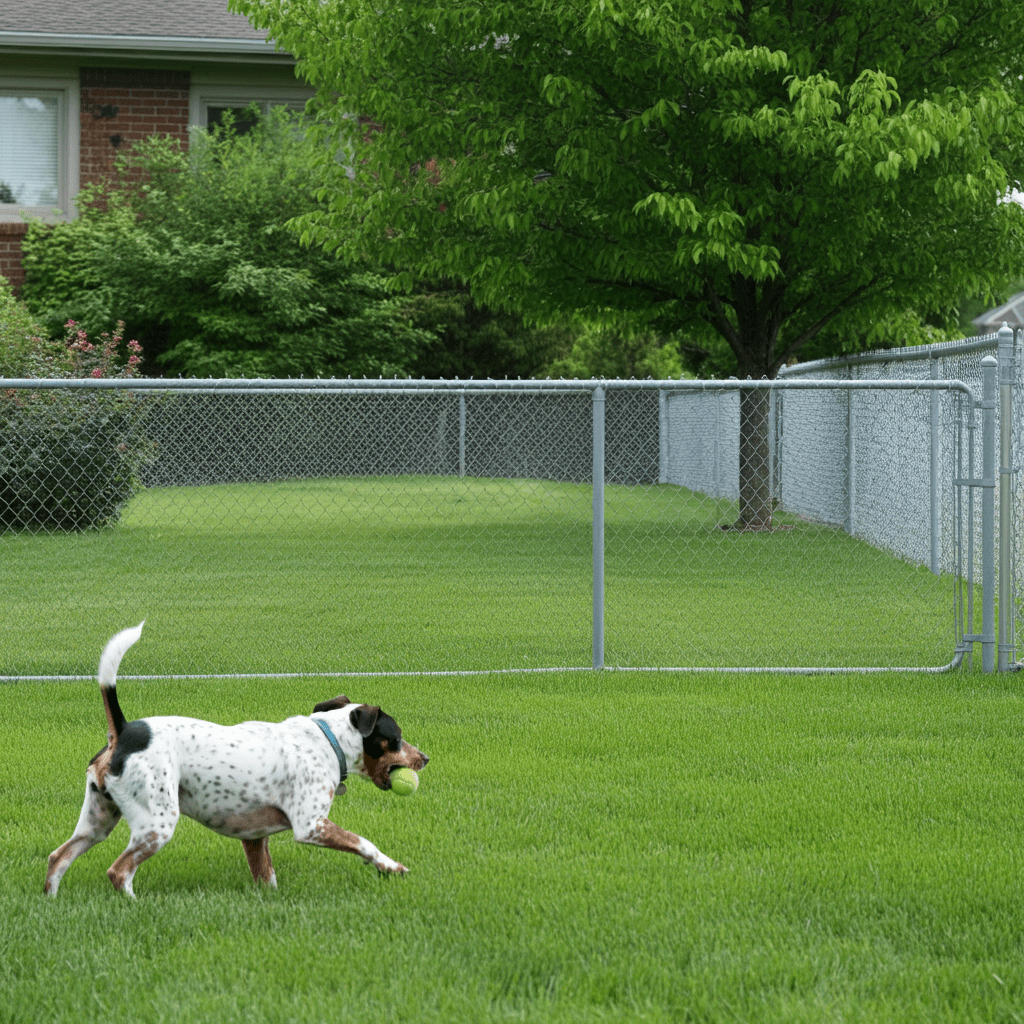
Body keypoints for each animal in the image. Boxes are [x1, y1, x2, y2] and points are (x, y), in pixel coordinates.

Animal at [43, 618, 428, 892]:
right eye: (397, 739)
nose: (424, 758)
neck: (327, 740)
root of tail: (123, 732)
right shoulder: (312, 825)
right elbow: (365, 844)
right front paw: (392, 867)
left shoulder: (254, 838)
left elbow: (266, 878)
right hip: (156, 824)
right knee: (118, 872)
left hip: (97, 822)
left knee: (57, 858)